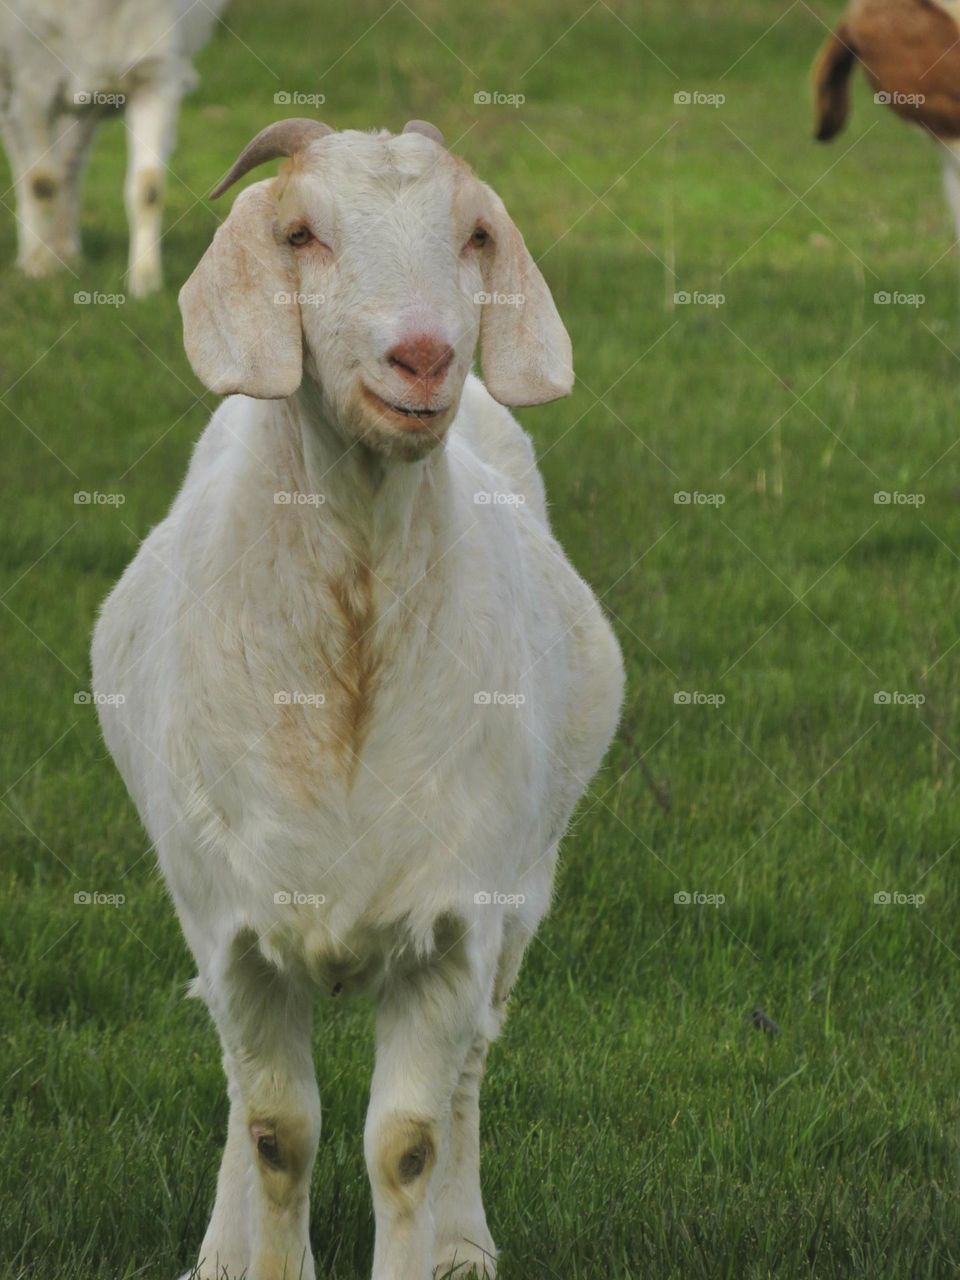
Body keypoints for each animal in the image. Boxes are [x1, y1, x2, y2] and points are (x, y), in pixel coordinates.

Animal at [0, 0, 227, 294]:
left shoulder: (155, 77)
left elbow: (148, 188)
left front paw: (145, 282)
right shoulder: (33, 88)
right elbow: (41, 184)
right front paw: (40, 268)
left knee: (71, 162)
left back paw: (67, 251)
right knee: (24, 164)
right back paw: (33, 256)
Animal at [94, 120, 627, 1280]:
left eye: (475, 234)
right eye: (300, 233)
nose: (424, 357)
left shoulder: (457, 923)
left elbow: (408, 1142)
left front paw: (430, 1235)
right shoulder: (233, 929)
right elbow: (276, 1131)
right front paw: (259, 1254)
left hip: (526, 892)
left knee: (473, 1068)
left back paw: (465, 1242)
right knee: (238, 1087)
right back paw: (220, 1247)